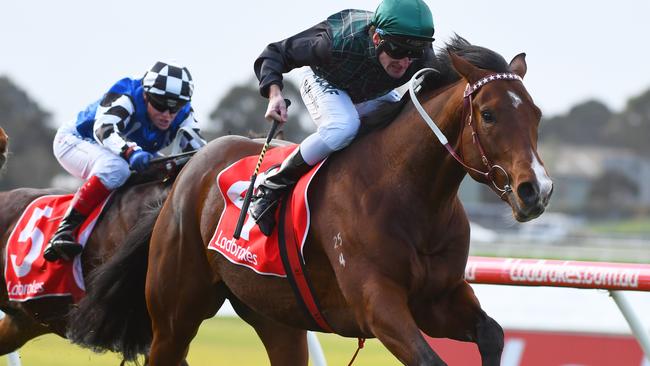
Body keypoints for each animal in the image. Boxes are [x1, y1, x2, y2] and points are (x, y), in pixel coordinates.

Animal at [77, 38, 552, 366]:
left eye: (536, 115)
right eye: (488, 115)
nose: (537, 190)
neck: (411, 198)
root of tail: (188, 168)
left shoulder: (438, 298)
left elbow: (492, 334)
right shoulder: (377, 304)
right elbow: (428, 358)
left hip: (276, 316)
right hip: (175, 313)